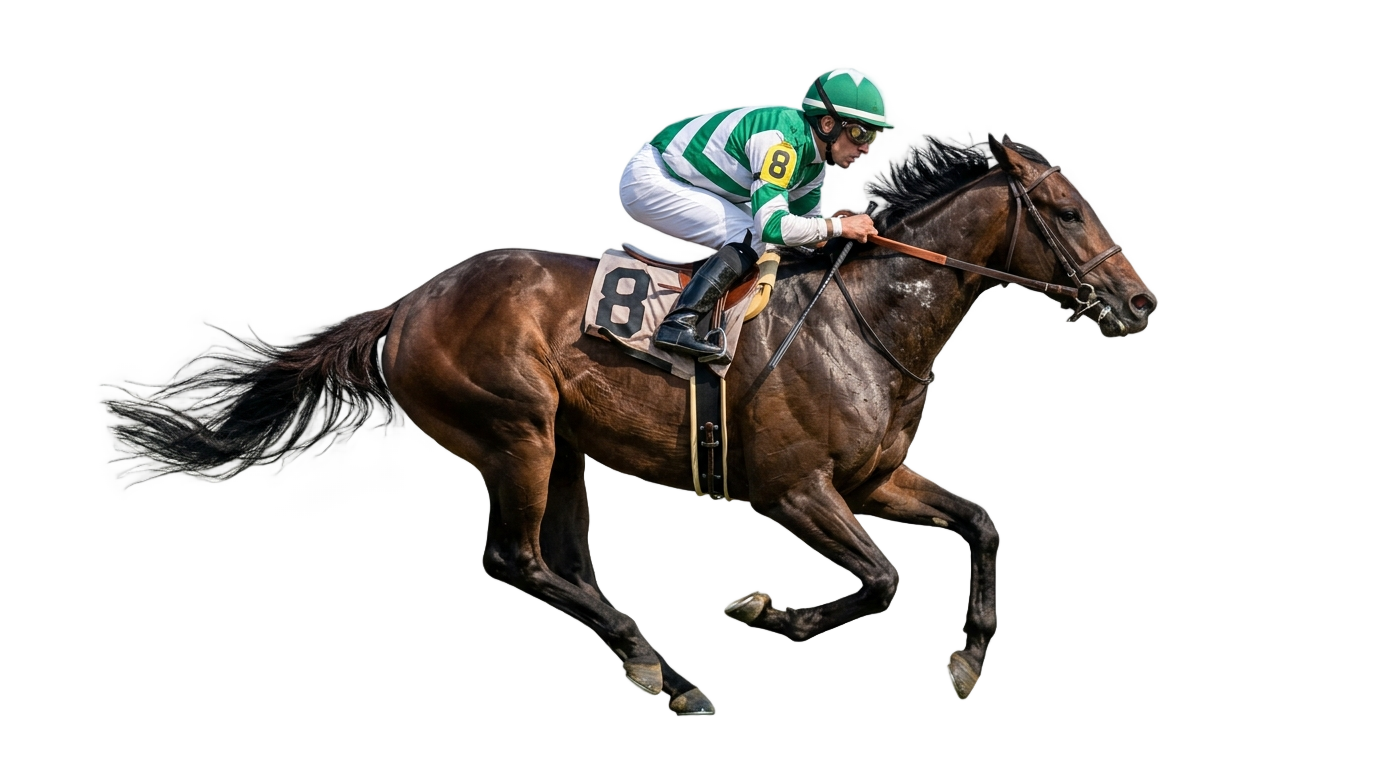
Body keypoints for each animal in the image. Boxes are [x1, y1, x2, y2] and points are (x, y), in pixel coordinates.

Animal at [108, 134, 1156, 717]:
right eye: (1066, 210)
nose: (1140, 302)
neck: (864, 320)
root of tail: (407, 305)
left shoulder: (871, 479)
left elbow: (980, 526)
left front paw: (971, 657)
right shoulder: (792, 490)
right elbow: (879, 578)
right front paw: (772, 615)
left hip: (563, 449)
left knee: (562, 563)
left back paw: (663, 669)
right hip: (517, 435)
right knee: (514, 559)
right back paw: (660, 663)